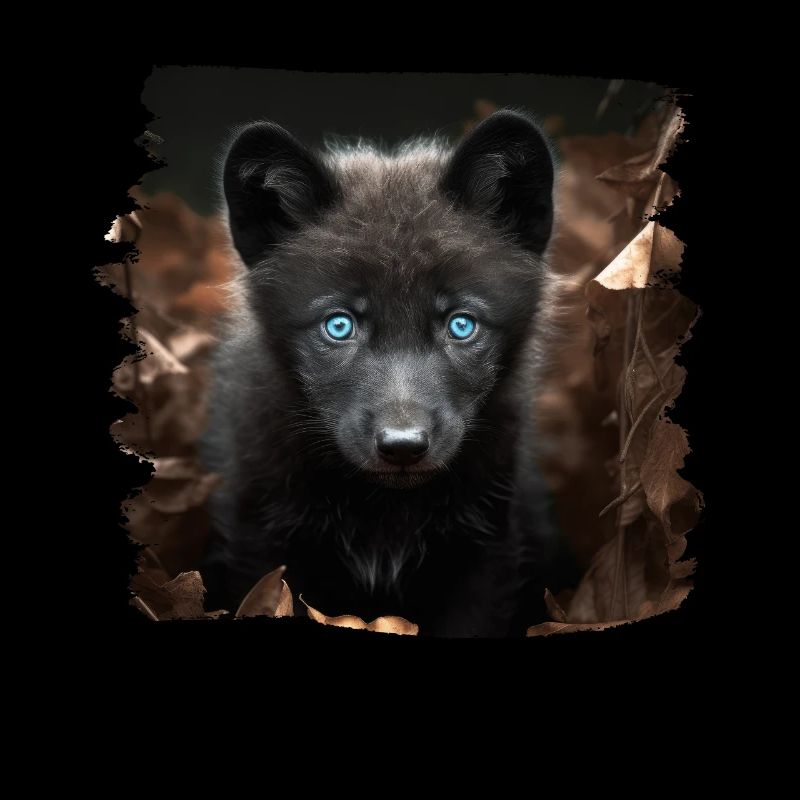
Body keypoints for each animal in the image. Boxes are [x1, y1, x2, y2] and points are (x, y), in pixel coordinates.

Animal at [199, 109, 578, 637]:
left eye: (461, 324)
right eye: (339, 325)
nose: (403, 447)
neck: (385, 515)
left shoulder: (488, 551)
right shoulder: (259, 541)